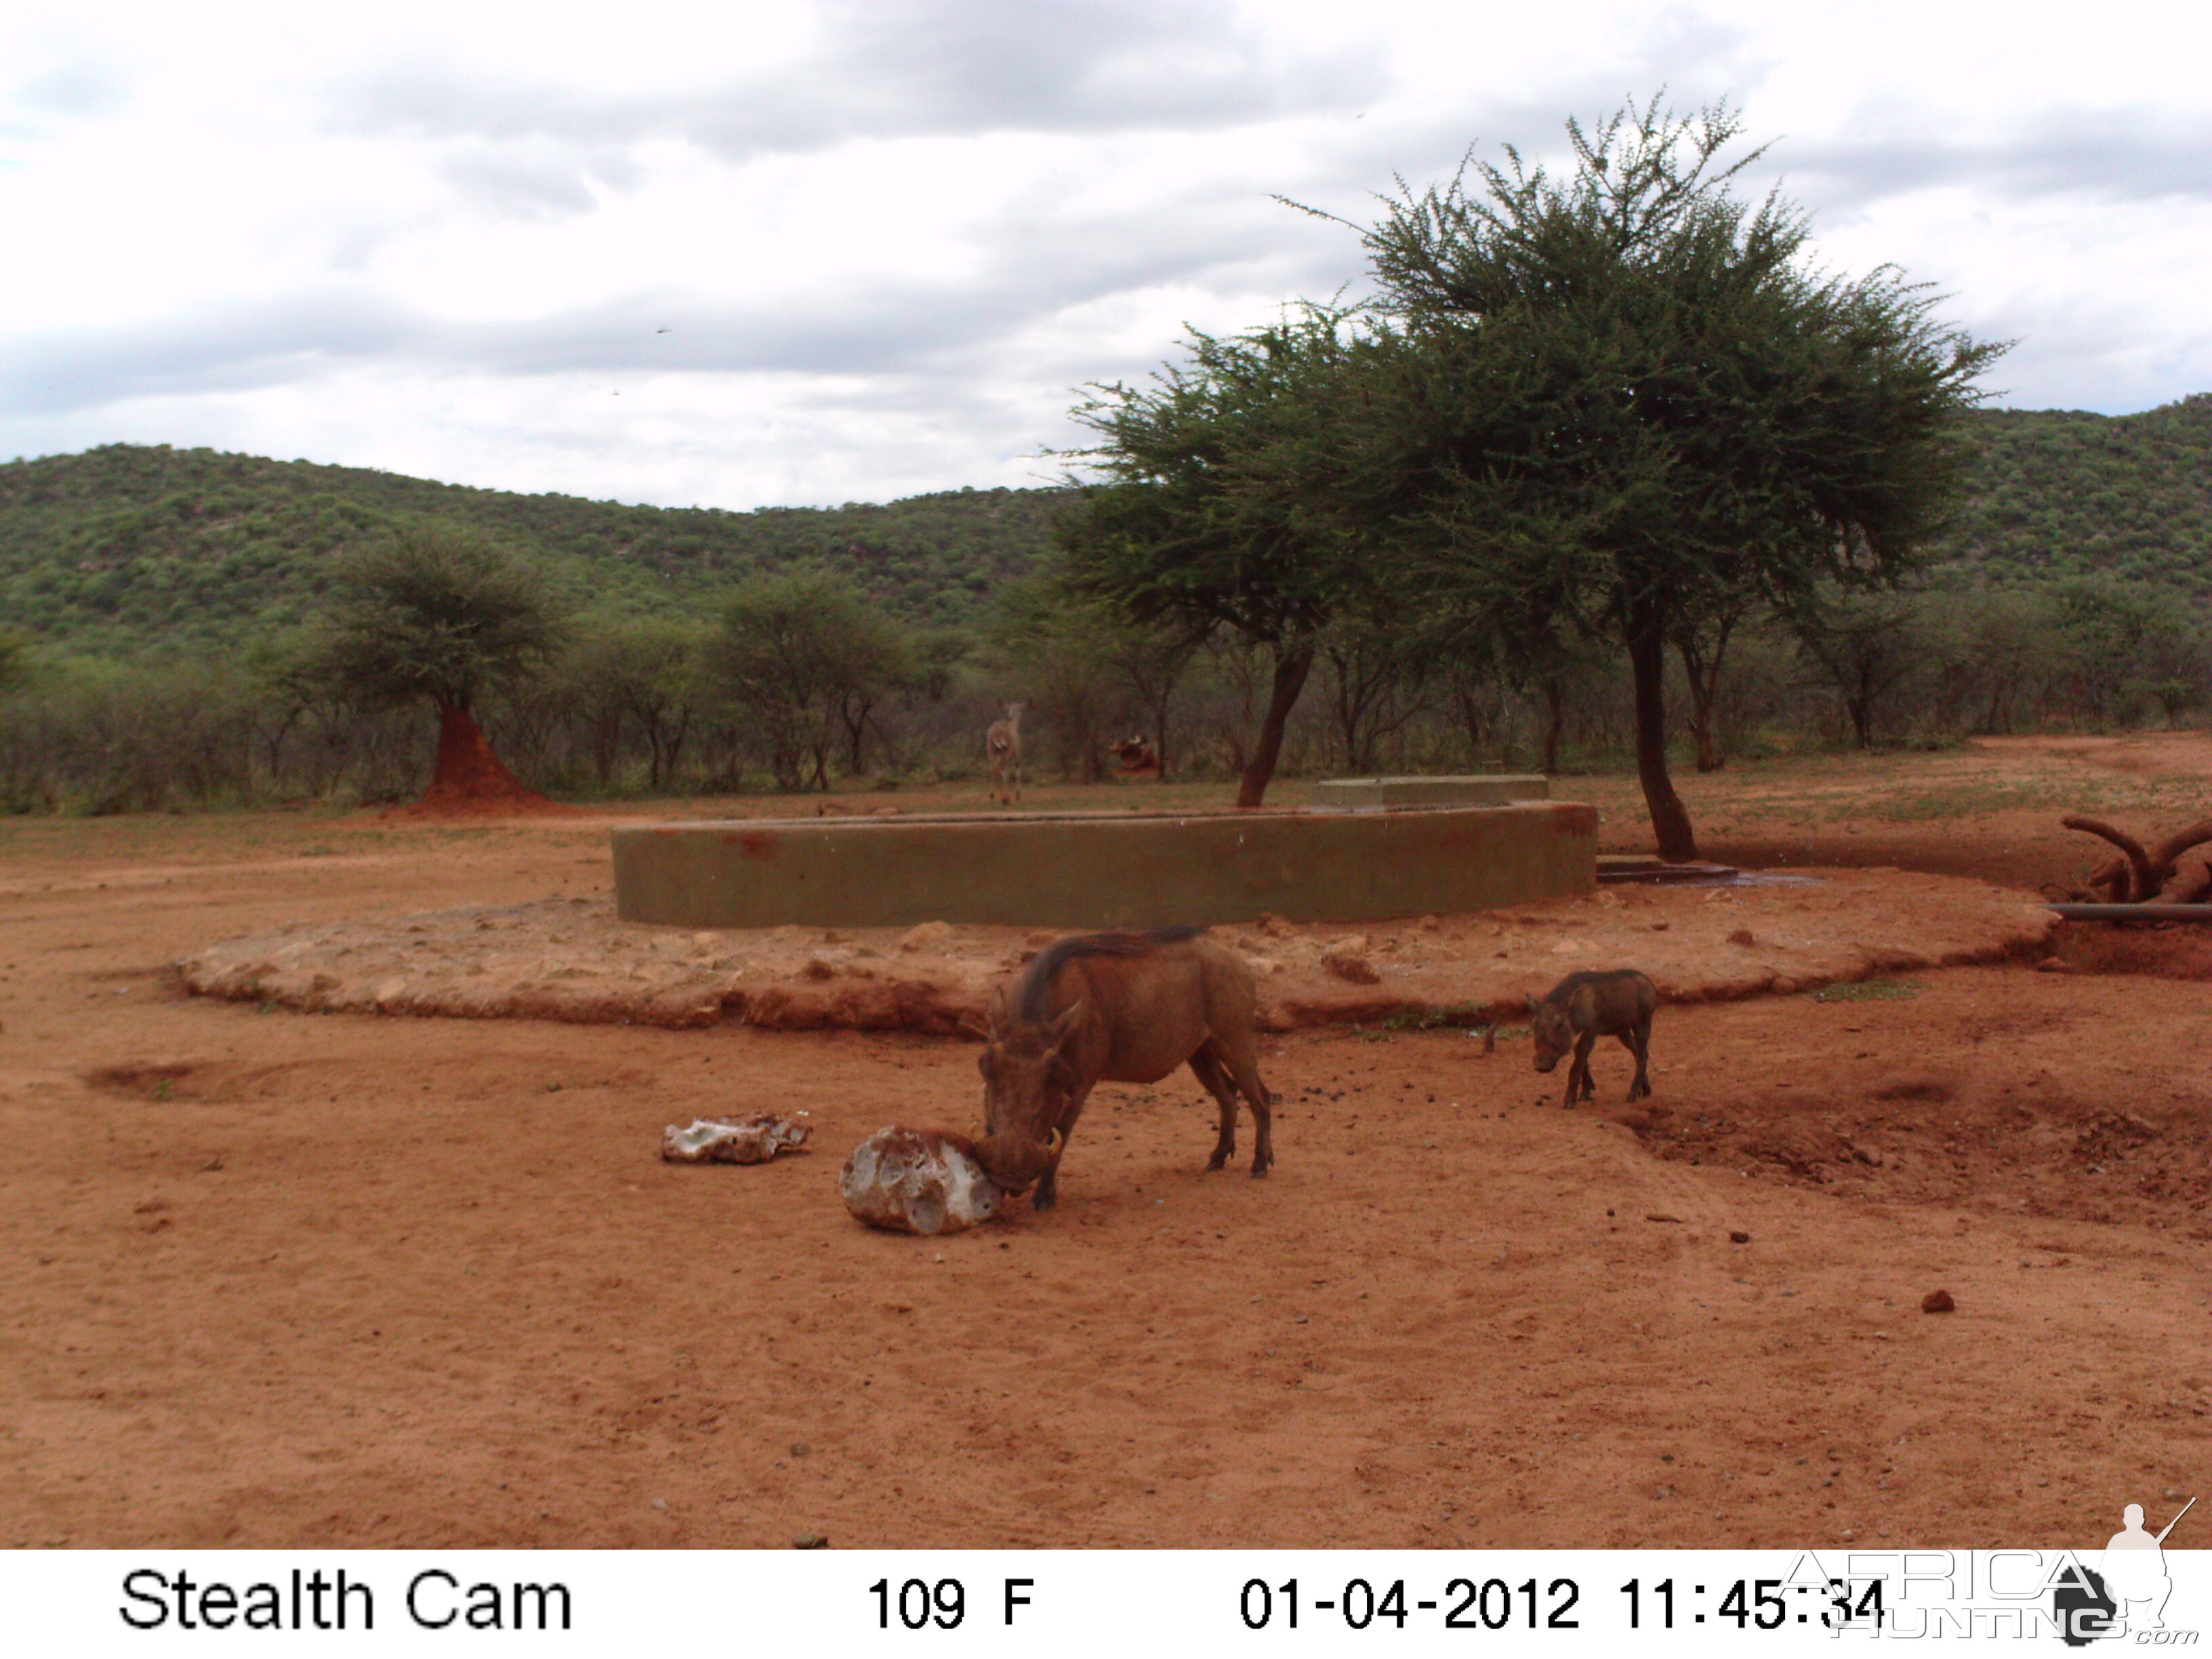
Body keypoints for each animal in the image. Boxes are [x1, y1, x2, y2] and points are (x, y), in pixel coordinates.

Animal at [991, 703, 1021, 805]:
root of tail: (996, 733)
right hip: (1004, 753)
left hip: (992, 752)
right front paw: (1018, 795)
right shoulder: (1016, 753)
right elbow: (1016, 771)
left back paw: (993, 797)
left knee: (995, 770)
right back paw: (1005, 799)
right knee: (1002, 771)